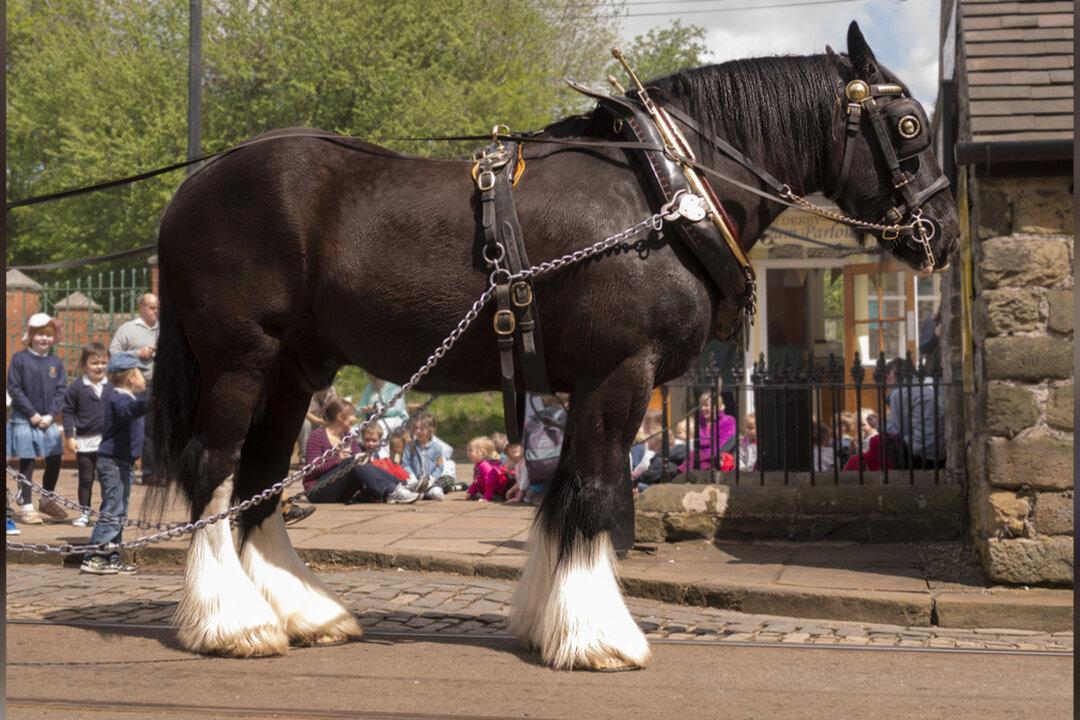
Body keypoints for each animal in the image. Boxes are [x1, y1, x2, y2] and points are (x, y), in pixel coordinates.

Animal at [149, 22, 958, 670]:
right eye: (908, 126)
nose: (943, 234)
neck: (664, 193)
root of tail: (191, 188)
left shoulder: (588, 383)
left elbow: (567, 494)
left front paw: (553, 621)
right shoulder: (620, 373)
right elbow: (595, 493)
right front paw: (599, 637)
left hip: (292, 371)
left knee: (257, 482)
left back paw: (303, 613)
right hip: (240, 360)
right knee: (211, 468)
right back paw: (232, 623)